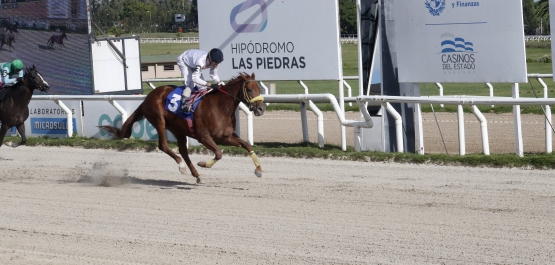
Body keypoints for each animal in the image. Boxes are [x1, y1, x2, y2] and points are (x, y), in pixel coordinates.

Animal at [100, 72, 268, 184]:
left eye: (259, 89)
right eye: (250, 90)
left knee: (183, 151)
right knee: (164, 146)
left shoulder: (225, 137)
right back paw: (182, 166)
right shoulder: (203, 136)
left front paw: (259, 170)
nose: (261, 109)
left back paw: (196, 175)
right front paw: (203, 164)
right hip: (159, 121)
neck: (220, 106)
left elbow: (246, 145)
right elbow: (219, 154)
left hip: (178, 129)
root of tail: (148, 96)